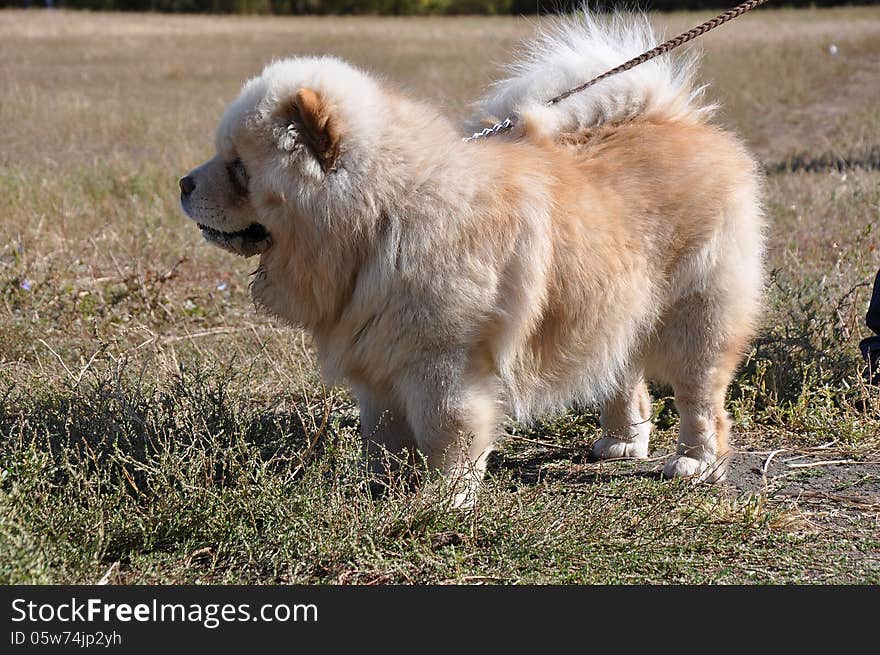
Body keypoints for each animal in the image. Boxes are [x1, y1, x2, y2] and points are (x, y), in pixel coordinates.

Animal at [180, 10, 764, 504]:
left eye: (238, 168)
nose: (184, 183)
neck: (384, 216)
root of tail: (683, 122)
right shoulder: (377, 361)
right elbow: (383, 436)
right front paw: (383, 488)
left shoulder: (444, 363)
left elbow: (447, 434)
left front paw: (443, 498)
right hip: (612, 307)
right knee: (624, 379)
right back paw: (622, 444)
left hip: (697, 316)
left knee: (700, 398)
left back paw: (694, 463)